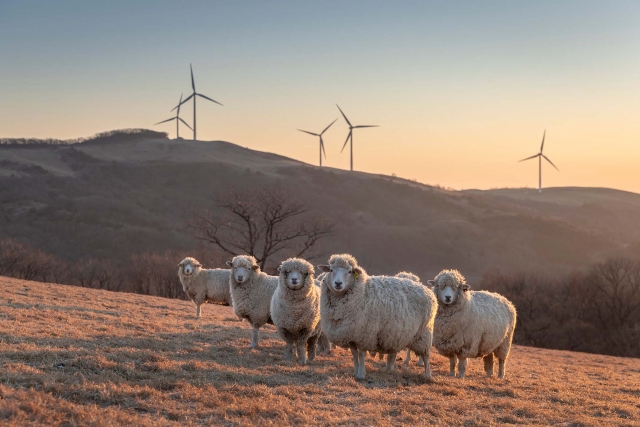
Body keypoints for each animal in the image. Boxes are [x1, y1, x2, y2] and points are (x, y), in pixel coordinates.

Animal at [318, 254, 438, 382]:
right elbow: (354, 355)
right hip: (397, 334)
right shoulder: (352, 335)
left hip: (424, 333)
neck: (362, 292)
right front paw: (355, 372)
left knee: (426, 356)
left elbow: (361, 354)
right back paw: (389, 369)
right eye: (331, 270)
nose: (338, 283)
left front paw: (361, 374)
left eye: (350, 271)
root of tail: (427, 290)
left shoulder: (364, 334)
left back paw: (427, 374)